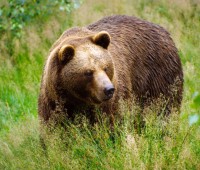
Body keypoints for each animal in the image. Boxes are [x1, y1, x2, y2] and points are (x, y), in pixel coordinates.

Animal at [38, 15, 184, 127]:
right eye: (88, 72)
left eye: (106, 67)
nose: (108, 89)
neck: (77, 100)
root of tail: (163, 30)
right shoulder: (54, 103)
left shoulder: (112, 102)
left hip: (158, 75)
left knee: (163, 108)